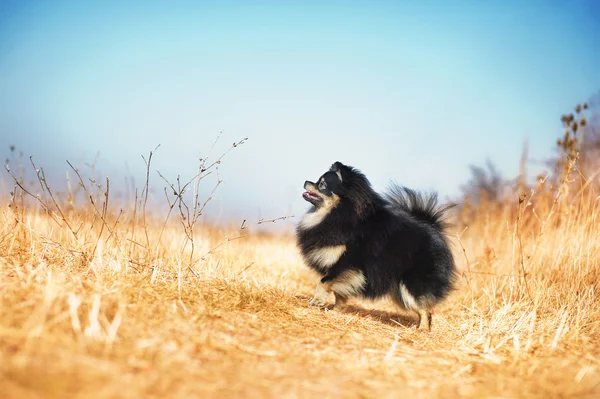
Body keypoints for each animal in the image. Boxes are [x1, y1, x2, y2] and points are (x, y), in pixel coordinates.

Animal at [292, 161, 458, 330]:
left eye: (322, 185)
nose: (306, 182)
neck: (338, 214)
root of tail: (434, 228)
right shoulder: (345, 271)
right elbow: (339, 293)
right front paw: (336, 311)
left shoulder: (347, 263)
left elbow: (323, 281)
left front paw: (316, 301)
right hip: (399, 290)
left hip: (411, 284)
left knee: (425, 309)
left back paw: (422, 330)